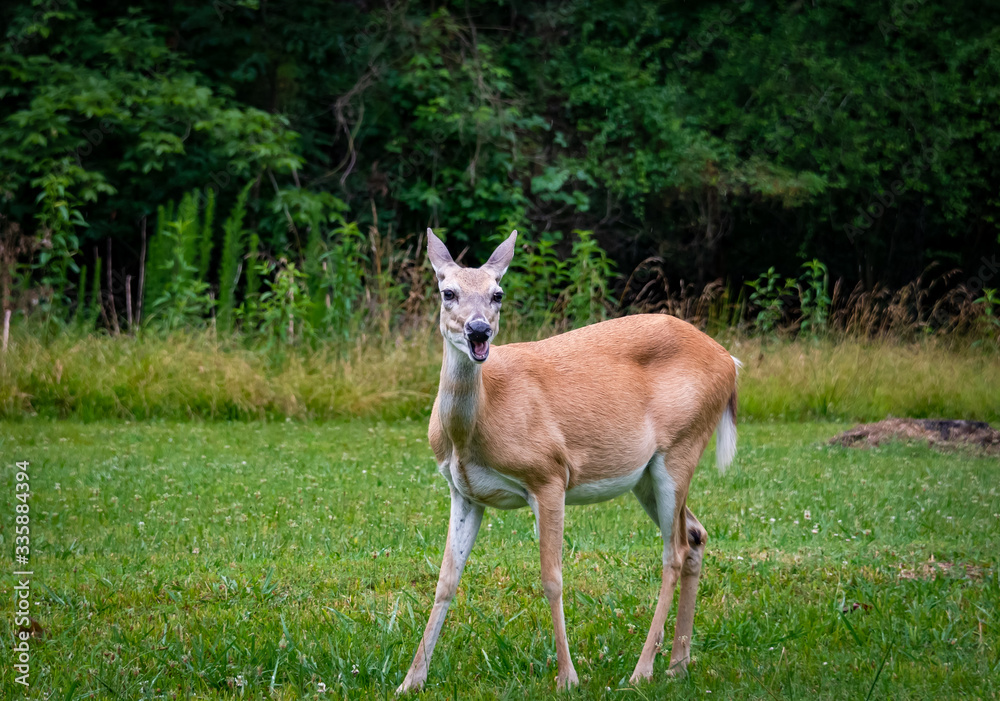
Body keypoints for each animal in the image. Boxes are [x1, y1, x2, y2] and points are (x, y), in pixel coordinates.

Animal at [394, 231, 740, 696]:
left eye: (498, 294)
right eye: (447, 292)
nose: (479, 330)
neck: (476, 426)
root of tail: (731, 363)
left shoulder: (549, 475)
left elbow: (552, 578)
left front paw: (567, 677)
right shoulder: (464, 491)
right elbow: (446, 580)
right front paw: (411, 680)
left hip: (681, 447)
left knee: (675, 551)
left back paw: (642, 670)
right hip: (646, 474)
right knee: (696, 535)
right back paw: (678, 665)